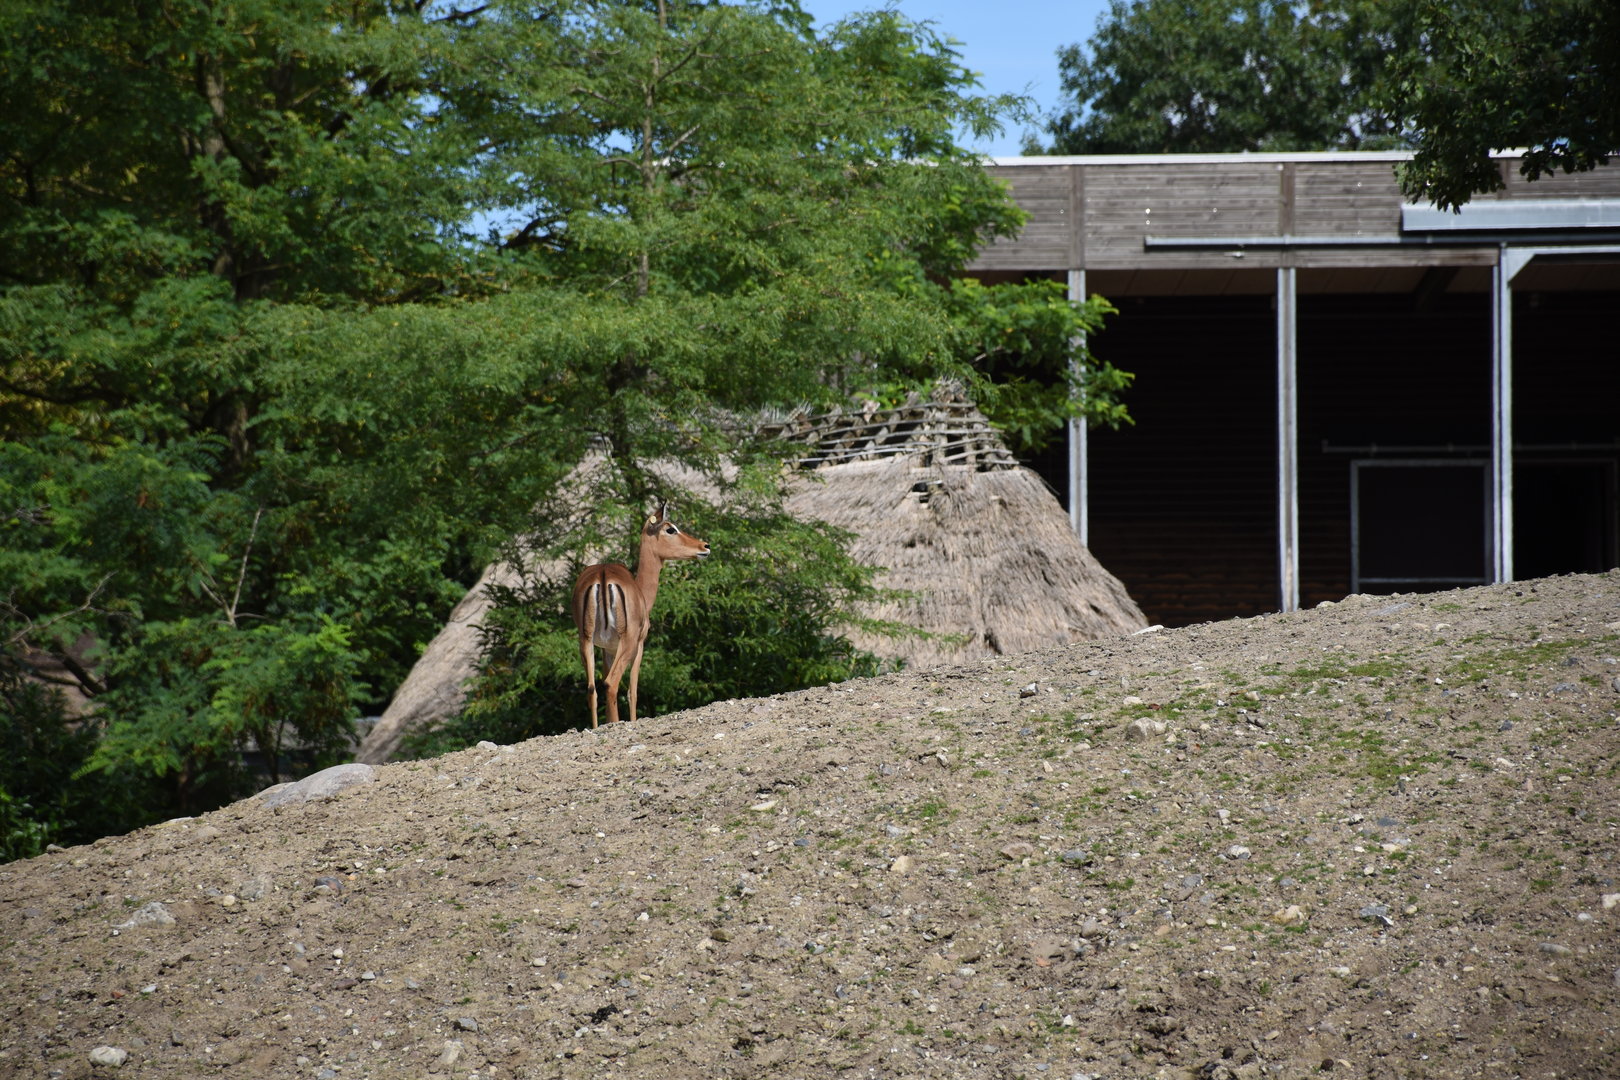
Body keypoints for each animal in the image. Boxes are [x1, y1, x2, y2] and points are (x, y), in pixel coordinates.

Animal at [570, 502, 711, 727]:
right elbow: (633, 692)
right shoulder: (639, 645)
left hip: (586, 641)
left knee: (592, 689)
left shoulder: (607, 649)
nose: (705, 546)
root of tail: (603, 576)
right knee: (611, 684)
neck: (641, 591)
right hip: (627, 644)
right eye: (670, 529)